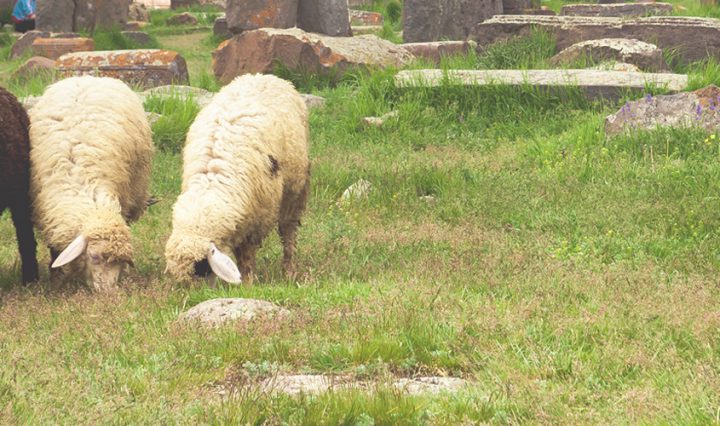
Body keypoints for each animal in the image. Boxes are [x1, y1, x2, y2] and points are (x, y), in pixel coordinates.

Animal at [29, 76, 154, 292]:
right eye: (94, 257)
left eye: (119, 261)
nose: (109, 292)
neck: (80, 184)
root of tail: (89, 76)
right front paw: (57, 279)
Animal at [164, 74, 310, 284]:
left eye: (202, 268)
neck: (210, 183)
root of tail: (262, 75)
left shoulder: (257, 218)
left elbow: (246, 255)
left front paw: (248, 282)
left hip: (295, 188)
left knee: (288, 229)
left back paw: (289, 271)